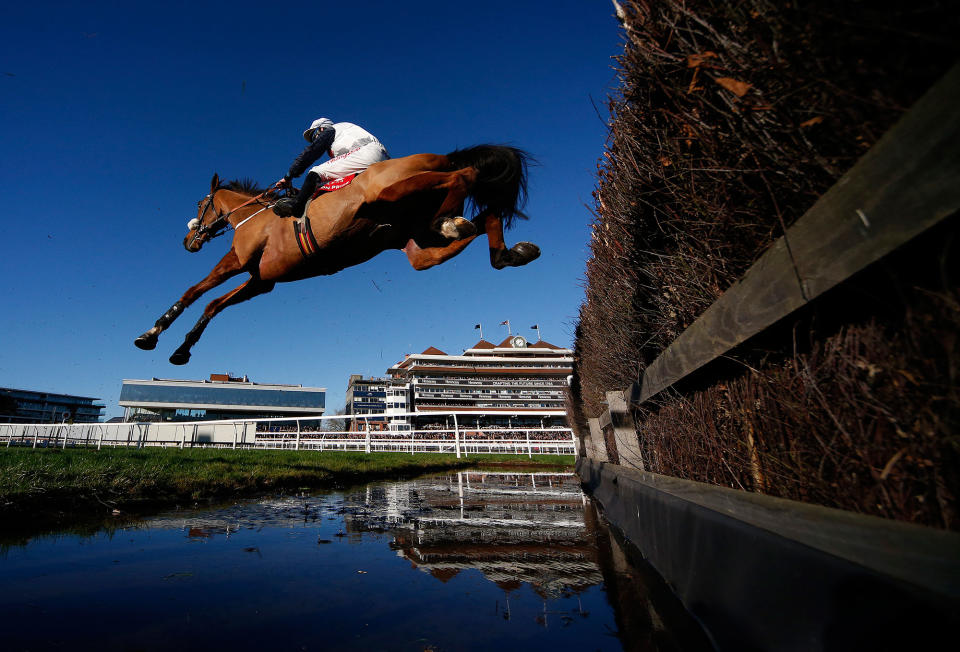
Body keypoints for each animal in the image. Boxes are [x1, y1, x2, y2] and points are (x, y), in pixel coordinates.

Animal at [132, 145, 544, 364]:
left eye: (200, 205)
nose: (188, 241)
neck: (250, 216)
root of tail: (442, 156)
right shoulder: (261, 281)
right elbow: (213, 304)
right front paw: (182, 349)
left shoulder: (238, 263)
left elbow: (193, 293)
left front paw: (151, 334)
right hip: (417, 245)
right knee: (481, 218)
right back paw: (506, 250)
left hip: (386, 193)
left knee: (465, 175)